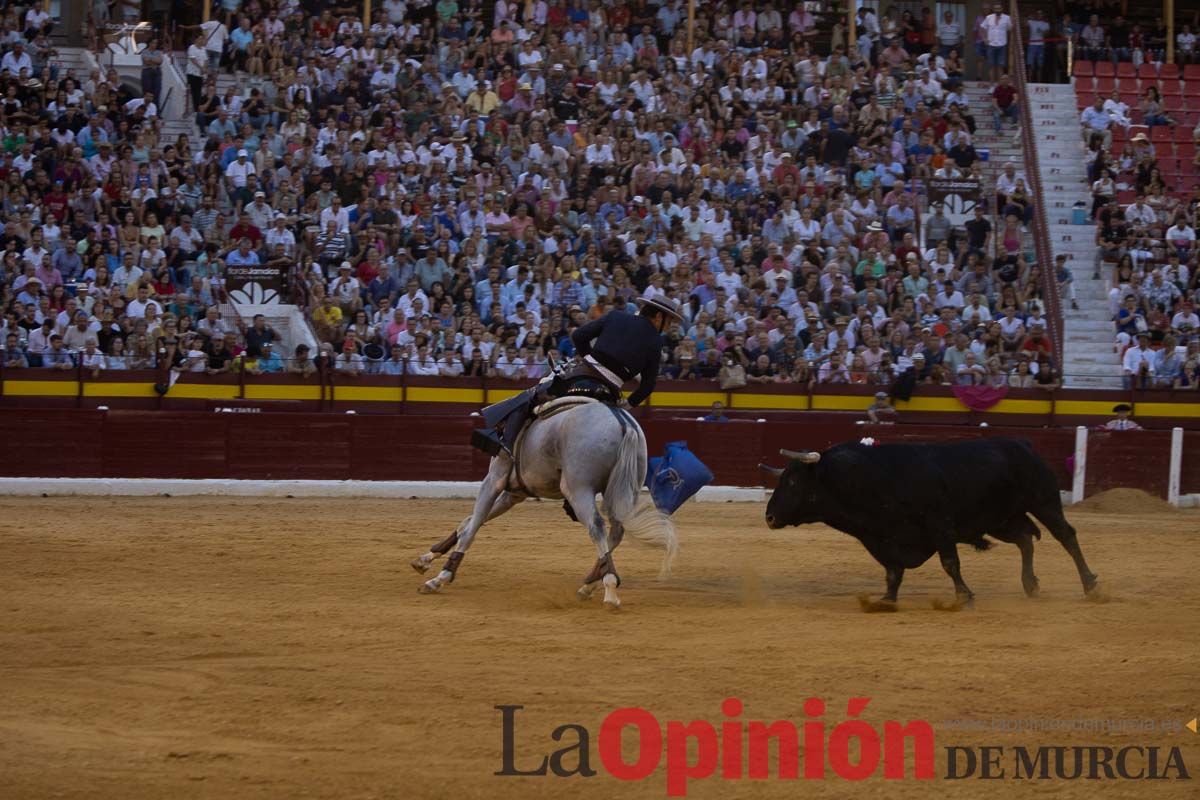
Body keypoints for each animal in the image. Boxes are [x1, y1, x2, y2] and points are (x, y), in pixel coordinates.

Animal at [410, 398, 676, 609]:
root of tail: (621, 422)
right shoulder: (513, 494)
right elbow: (469, 522)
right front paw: (425, 559)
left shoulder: (494, 480)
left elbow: (472, 527)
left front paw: (440, 577)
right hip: (624, 489)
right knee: (616, 531)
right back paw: (590, 585)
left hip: (578, 489)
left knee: (596, 527)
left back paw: (609, 590)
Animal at [763, 438, 1099, 606]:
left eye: (792, 481)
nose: (769, 516)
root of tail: (1024, 446)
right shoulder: (883, 538)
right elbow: (893, 572)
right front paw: (886, 599)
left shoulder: (940, 526)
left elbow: (950, 563)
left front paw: (963, 596)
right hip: (1000, 520)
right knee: (1025, 540)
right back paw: (1030, 585)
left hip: (1043, 501)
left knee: (1066, 536)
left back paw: (1090, 585)